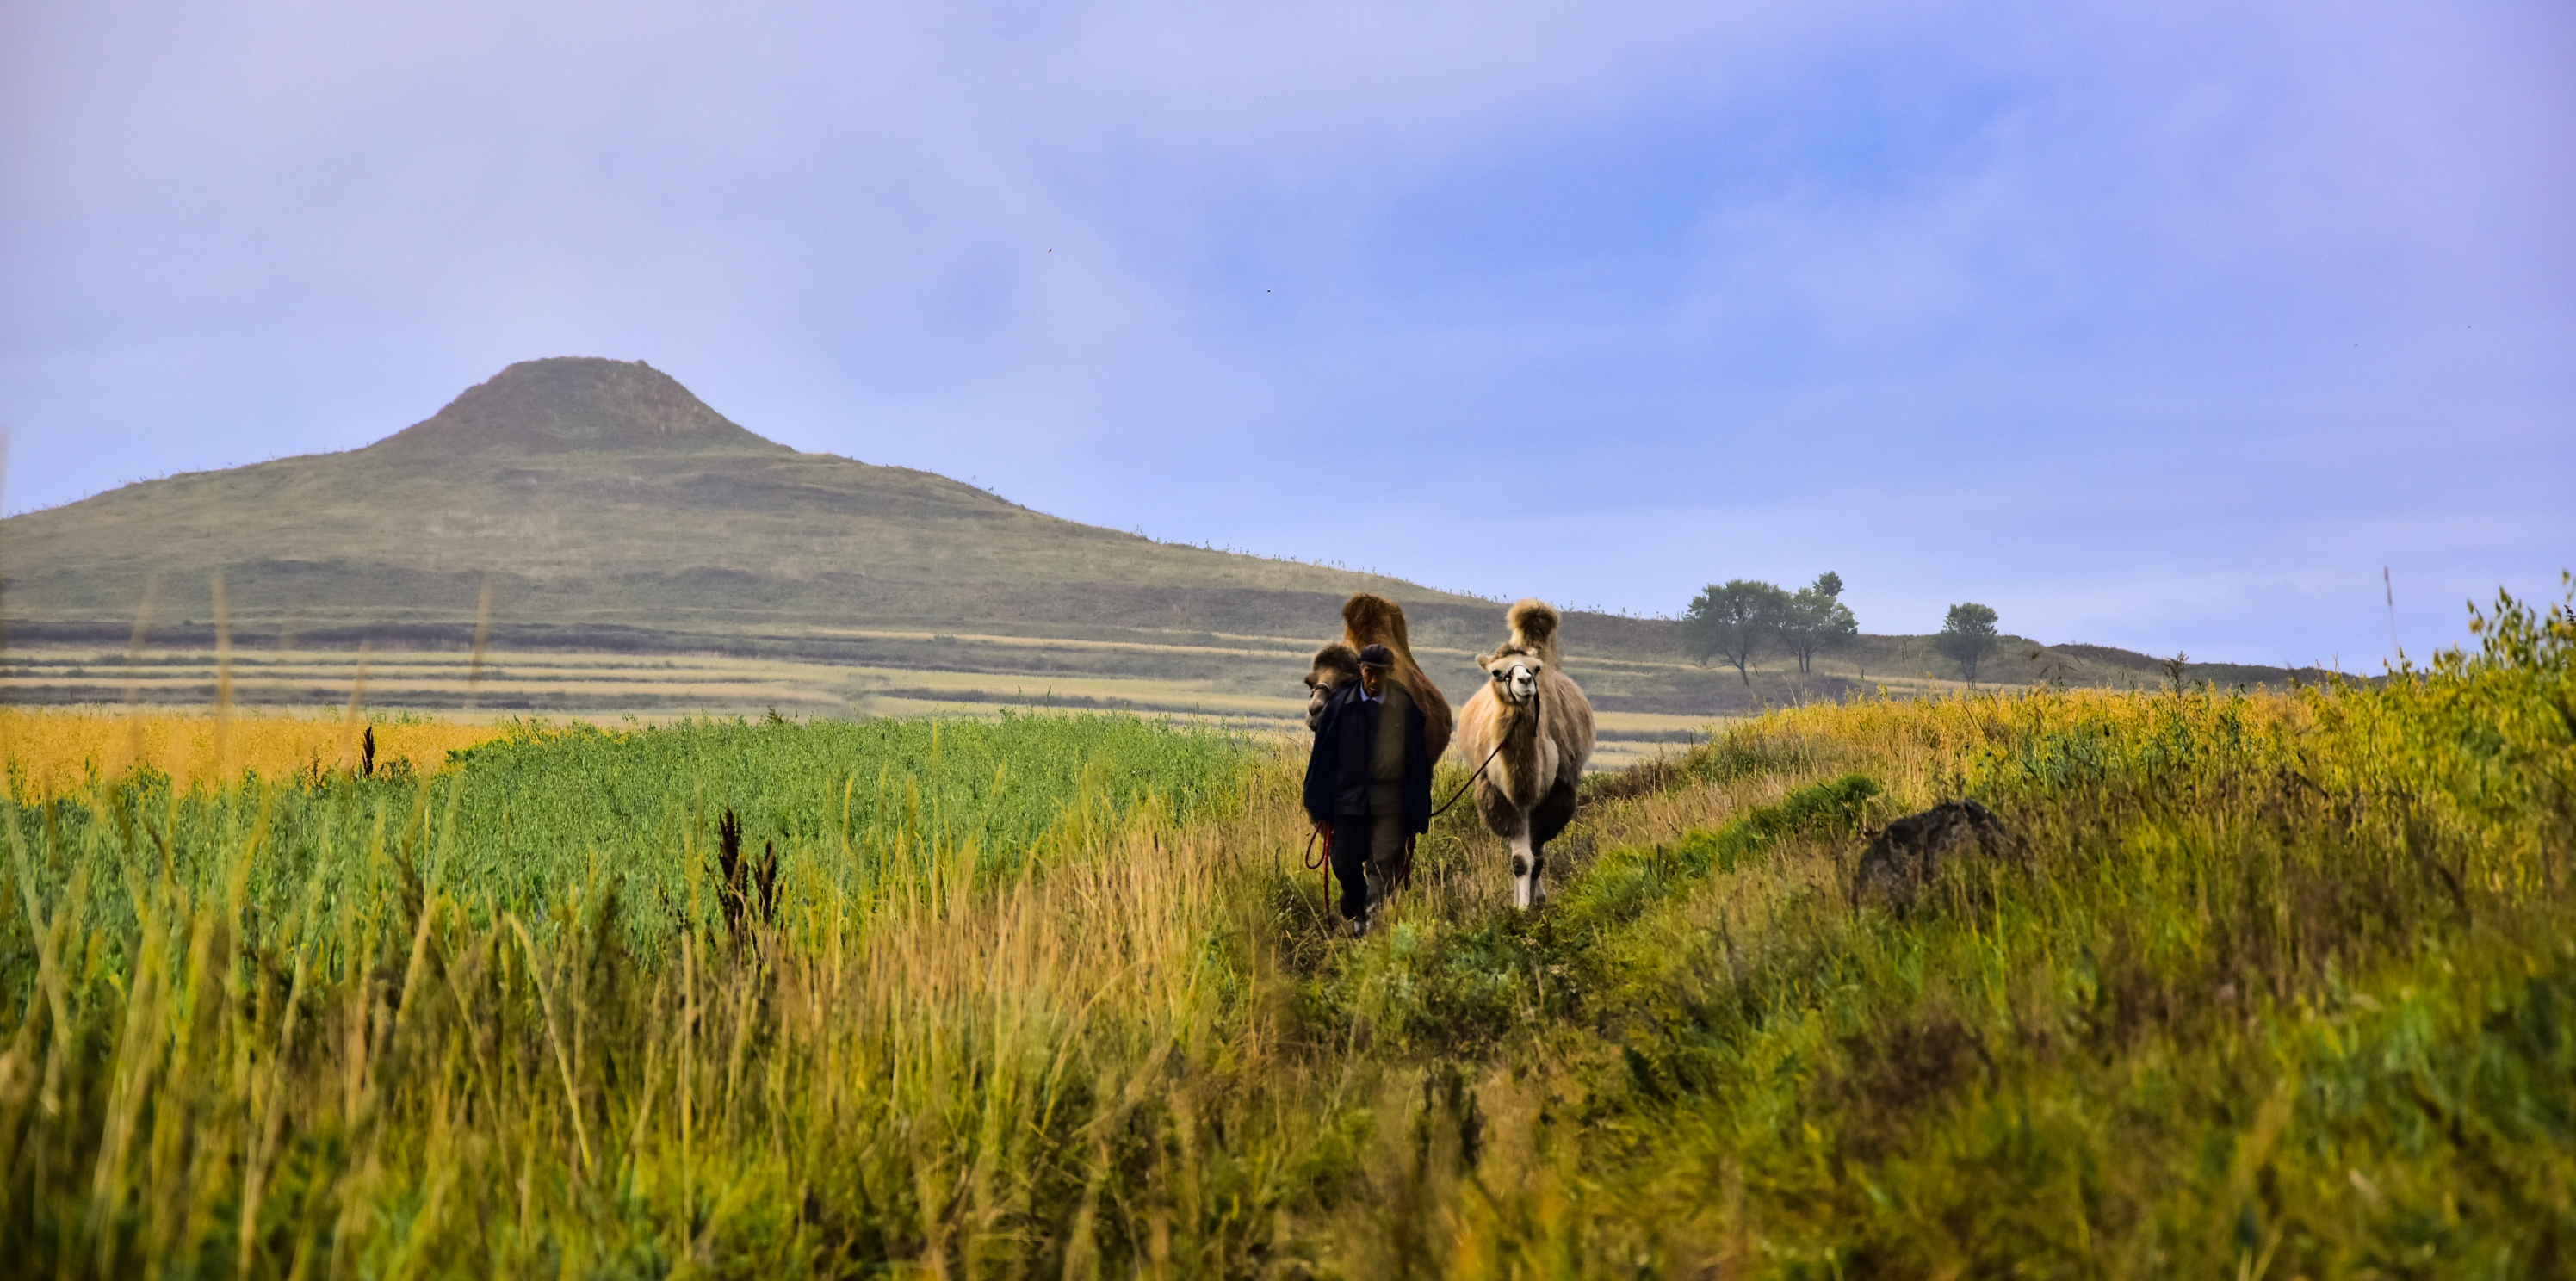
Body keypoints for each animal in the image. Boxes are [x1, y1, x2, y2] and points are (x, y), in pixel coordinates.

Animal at [1463, 597, 1597, 907]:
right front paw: (1521, 908)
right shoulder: (1498, 794)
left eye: (1535, 668)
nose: (1524, 681)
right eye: (1496, 672)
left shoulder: (1555, 792)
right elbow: (1520, 861)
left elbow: (1536, 858)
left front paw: (1534, 902)